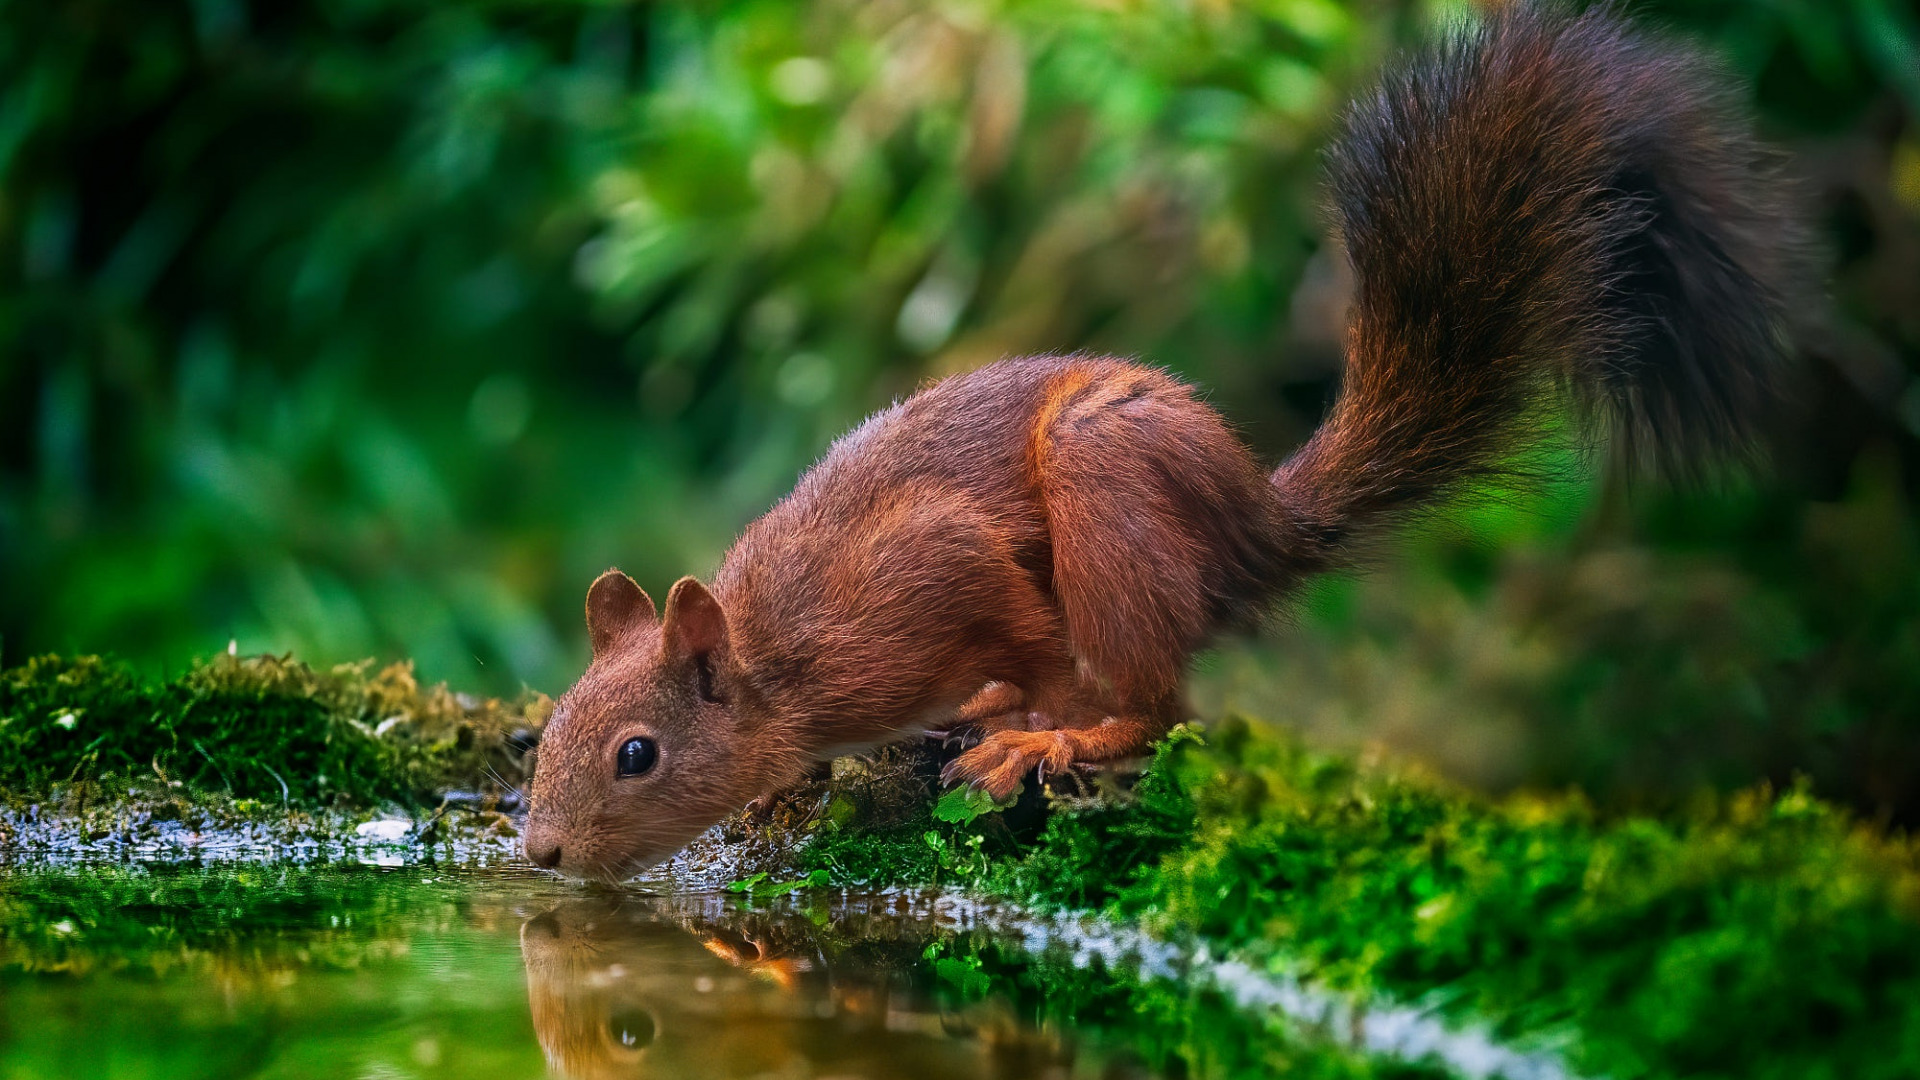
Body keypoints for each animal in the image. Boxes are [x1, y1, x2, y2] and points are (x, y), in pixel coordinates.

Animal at [522, 6, 1797, 876]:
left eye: (637, 753)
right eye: (543, 733)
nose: (540, 855)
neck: (782, 653)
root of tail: (1259, 524)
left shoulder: (932, 567)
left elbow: (1035, 636)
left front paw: (1033, 726)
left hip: (1110, 492)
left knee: (1163, 695)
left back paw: (1052, 731)